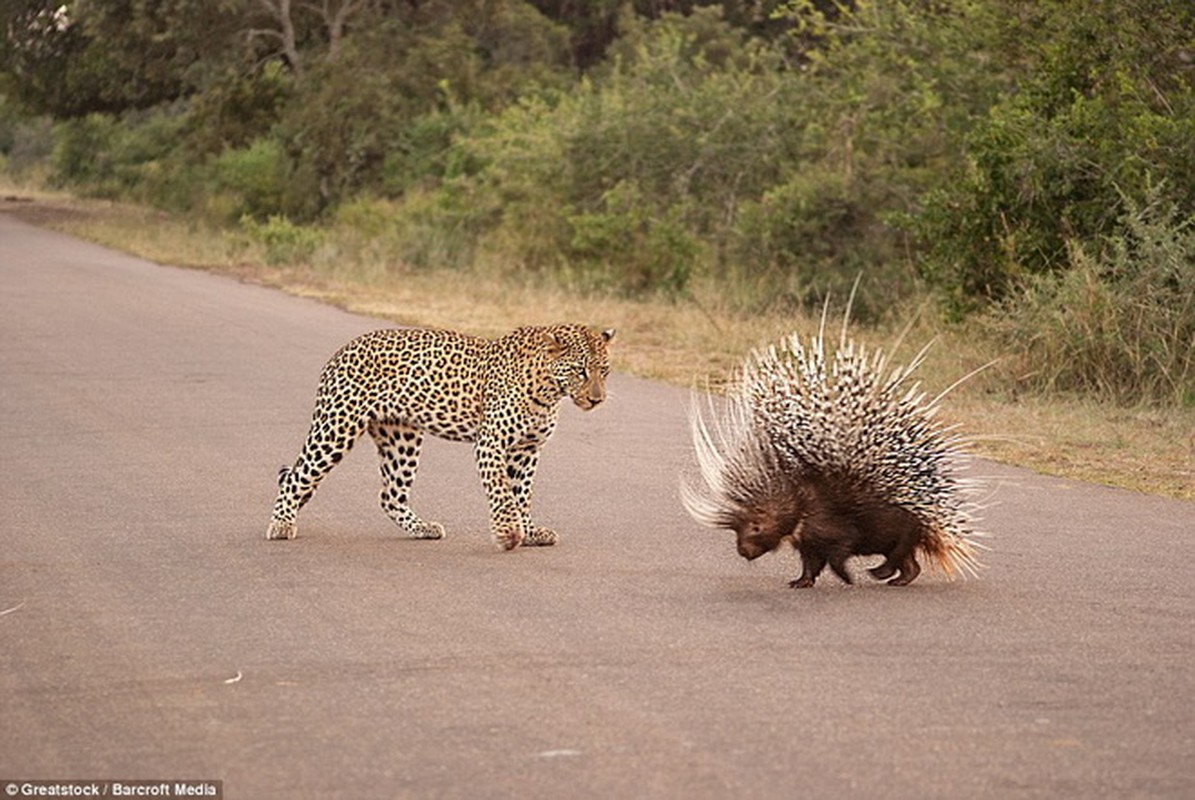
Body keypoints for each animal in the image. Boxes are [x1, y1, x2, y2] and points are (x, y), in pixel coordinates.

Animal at [265, 320, 611, 545]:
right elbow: (502, 492)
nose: (598, 399)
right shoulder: (491, 443)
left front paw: (529, 531)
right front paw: (508, 533)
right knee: (296, 477)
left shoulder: (527, 449)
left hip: (400, 439)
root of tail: (339, 352)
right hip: (337, 427)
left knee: (390, 496)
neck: (549, 390)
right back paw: (281, 525)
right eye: (581, 371)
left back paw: (422, 529)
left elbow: (521, 494)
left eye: (604, 372)